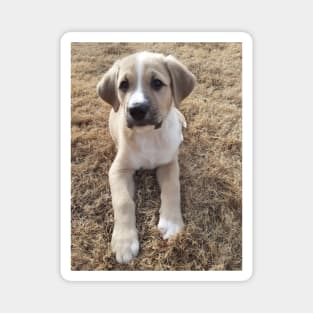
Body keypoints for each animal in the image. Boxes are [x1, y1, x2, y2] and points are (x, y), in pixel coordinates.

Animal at [97, 51, 195, 264]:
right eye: (123, 85)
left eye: (157, 83)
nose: (137, 109)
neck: (149, 135)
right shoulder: (118, 170)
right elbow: (123, 202)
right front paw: (124, 242)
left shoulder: (169, 163)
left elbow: (172, 188)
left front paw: (171, 222)